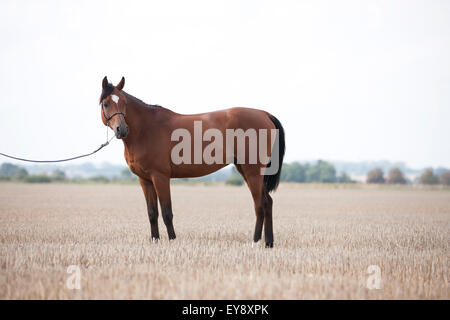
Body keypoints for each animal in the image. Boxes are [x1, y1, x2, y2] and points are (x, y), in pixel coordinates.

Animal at [100, 77, 286, 248]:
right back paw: (268, 243)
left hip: (252, 171)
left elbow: (167, 212)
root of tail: (264, 114)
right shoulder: (145, 180)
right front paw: (155, 241)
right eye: (106, 103)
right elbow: (152, 213)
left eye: (123, 102)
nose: (121, 129)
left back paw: (255, 242)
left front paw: (172, 241)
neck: (145, 129)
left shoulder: (160, 177)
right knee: (267, 202)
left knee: (259, 205)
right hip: (247, 170)